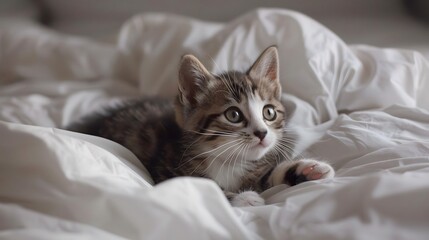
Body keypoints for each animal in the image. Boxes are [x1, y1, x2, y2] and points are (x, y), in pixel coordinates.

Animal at [67, 46, 334, 206]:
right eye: (234, 115)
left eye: (268, 112)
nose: (262, 133)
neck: (229, 160)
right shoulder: (167, 174)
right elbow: (208, 188)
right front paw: (245, 199)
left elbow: (269, 176)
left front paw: (309, 169)